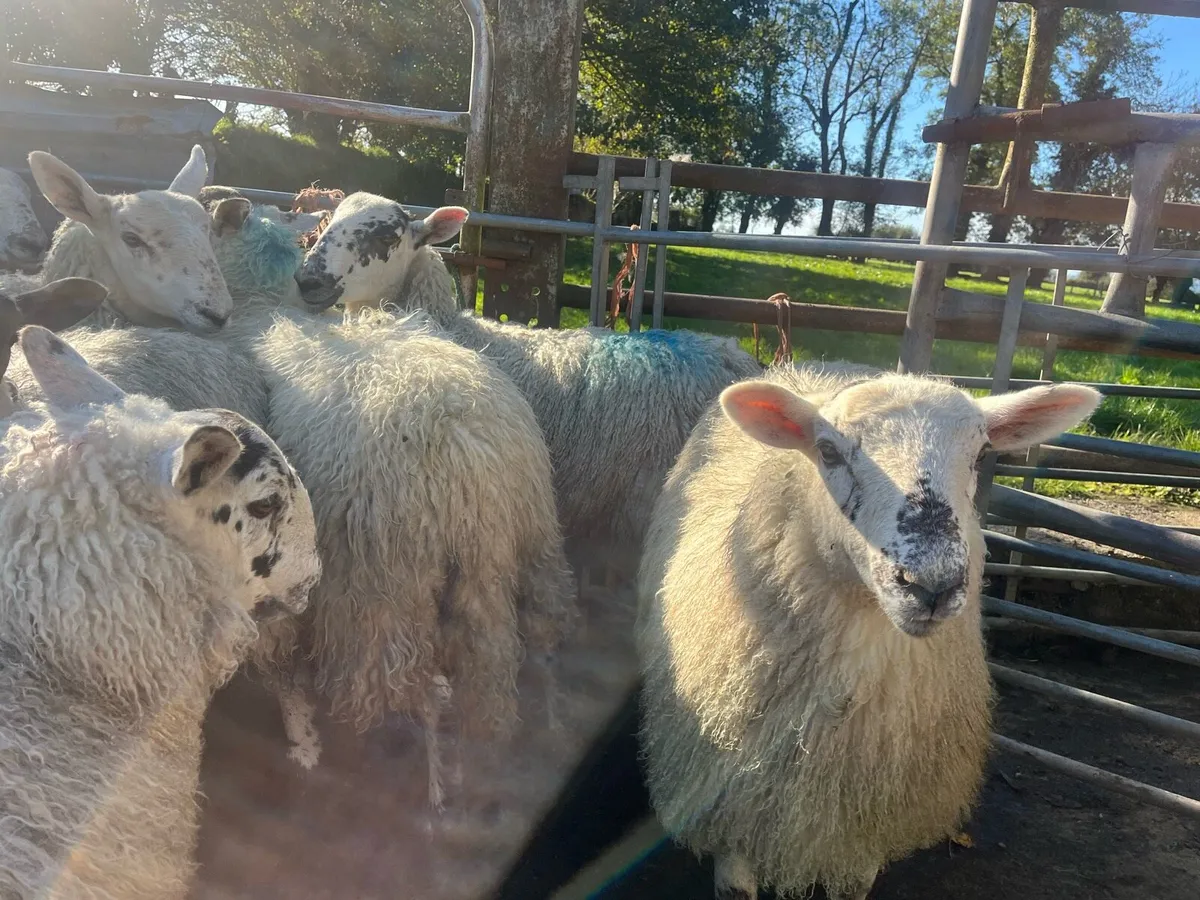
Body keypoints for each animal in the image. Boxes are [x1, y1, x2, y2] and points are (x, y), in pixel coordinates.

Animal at [248, 306, 576, 811]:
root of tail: (467, 457)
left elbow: (284, 669)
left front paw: (303, 744)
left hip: (387, 594)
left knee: (417, 690)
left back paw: (430, 792)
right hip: (523, 553)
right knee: (517, 655)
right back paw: (509, 748)